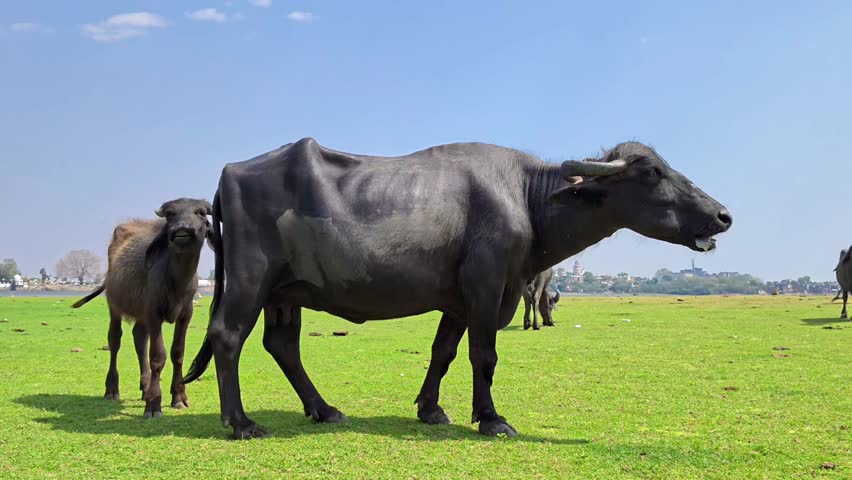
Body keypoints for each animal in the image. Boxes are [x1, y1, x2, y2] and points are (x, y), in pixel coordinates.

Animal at [73, 198, 211, 418]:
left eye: (200, 213)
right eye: (171, 214)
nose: (183, 228)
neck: (176, 280)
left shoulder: (186, 313)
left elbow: (177, 353)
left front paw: (178, 397)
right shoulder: (153, 312)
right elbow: (157, 356)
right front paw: (154, 405)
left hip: (141, 314)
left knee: (139, 338)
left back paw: (145, 388)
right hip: (114, 306)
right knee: (115, 340)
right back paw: (112, 389)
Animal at [183, 138, 732, 438]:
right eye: (652, 172)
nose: (723, 215)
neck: (527, 199)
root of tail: (231, 174)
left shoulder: (459, 299)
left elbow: (443, 352)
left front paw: (430, 409)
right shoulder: (488, 285)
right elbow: (483, 355)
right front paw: (490, 418)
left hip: (285, 293)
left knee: (281, 344)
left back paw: (323, 409)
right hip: (251, 279)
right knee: (227, 336)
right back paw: (240, 423)